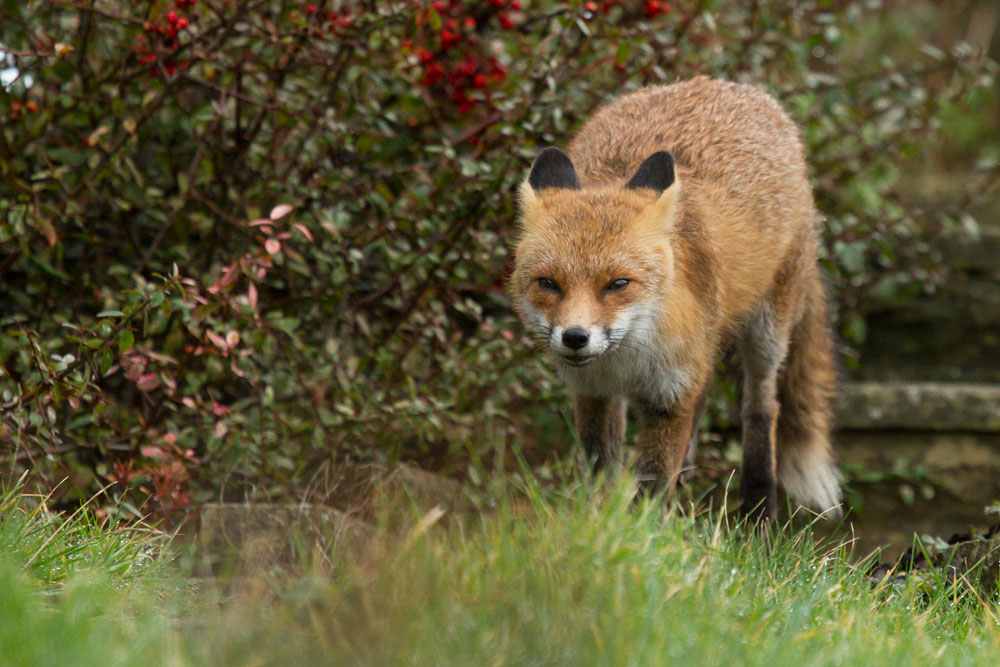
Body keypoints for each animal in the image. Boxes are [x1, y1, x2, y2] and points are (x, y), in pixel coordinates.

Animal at [509, 77, 841, 520]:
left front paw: (644, 529)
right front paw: (600, 524)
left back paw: (758, 508)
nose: (575, 338)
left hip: (766, 333)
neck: (627, 360)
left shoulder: (670, 394)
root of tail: (730, 85)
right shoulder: (595, 392)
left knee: (762, 407)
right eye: (548, 283)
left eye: (618, 284)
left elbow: (652, 482)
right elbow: (601, 475)